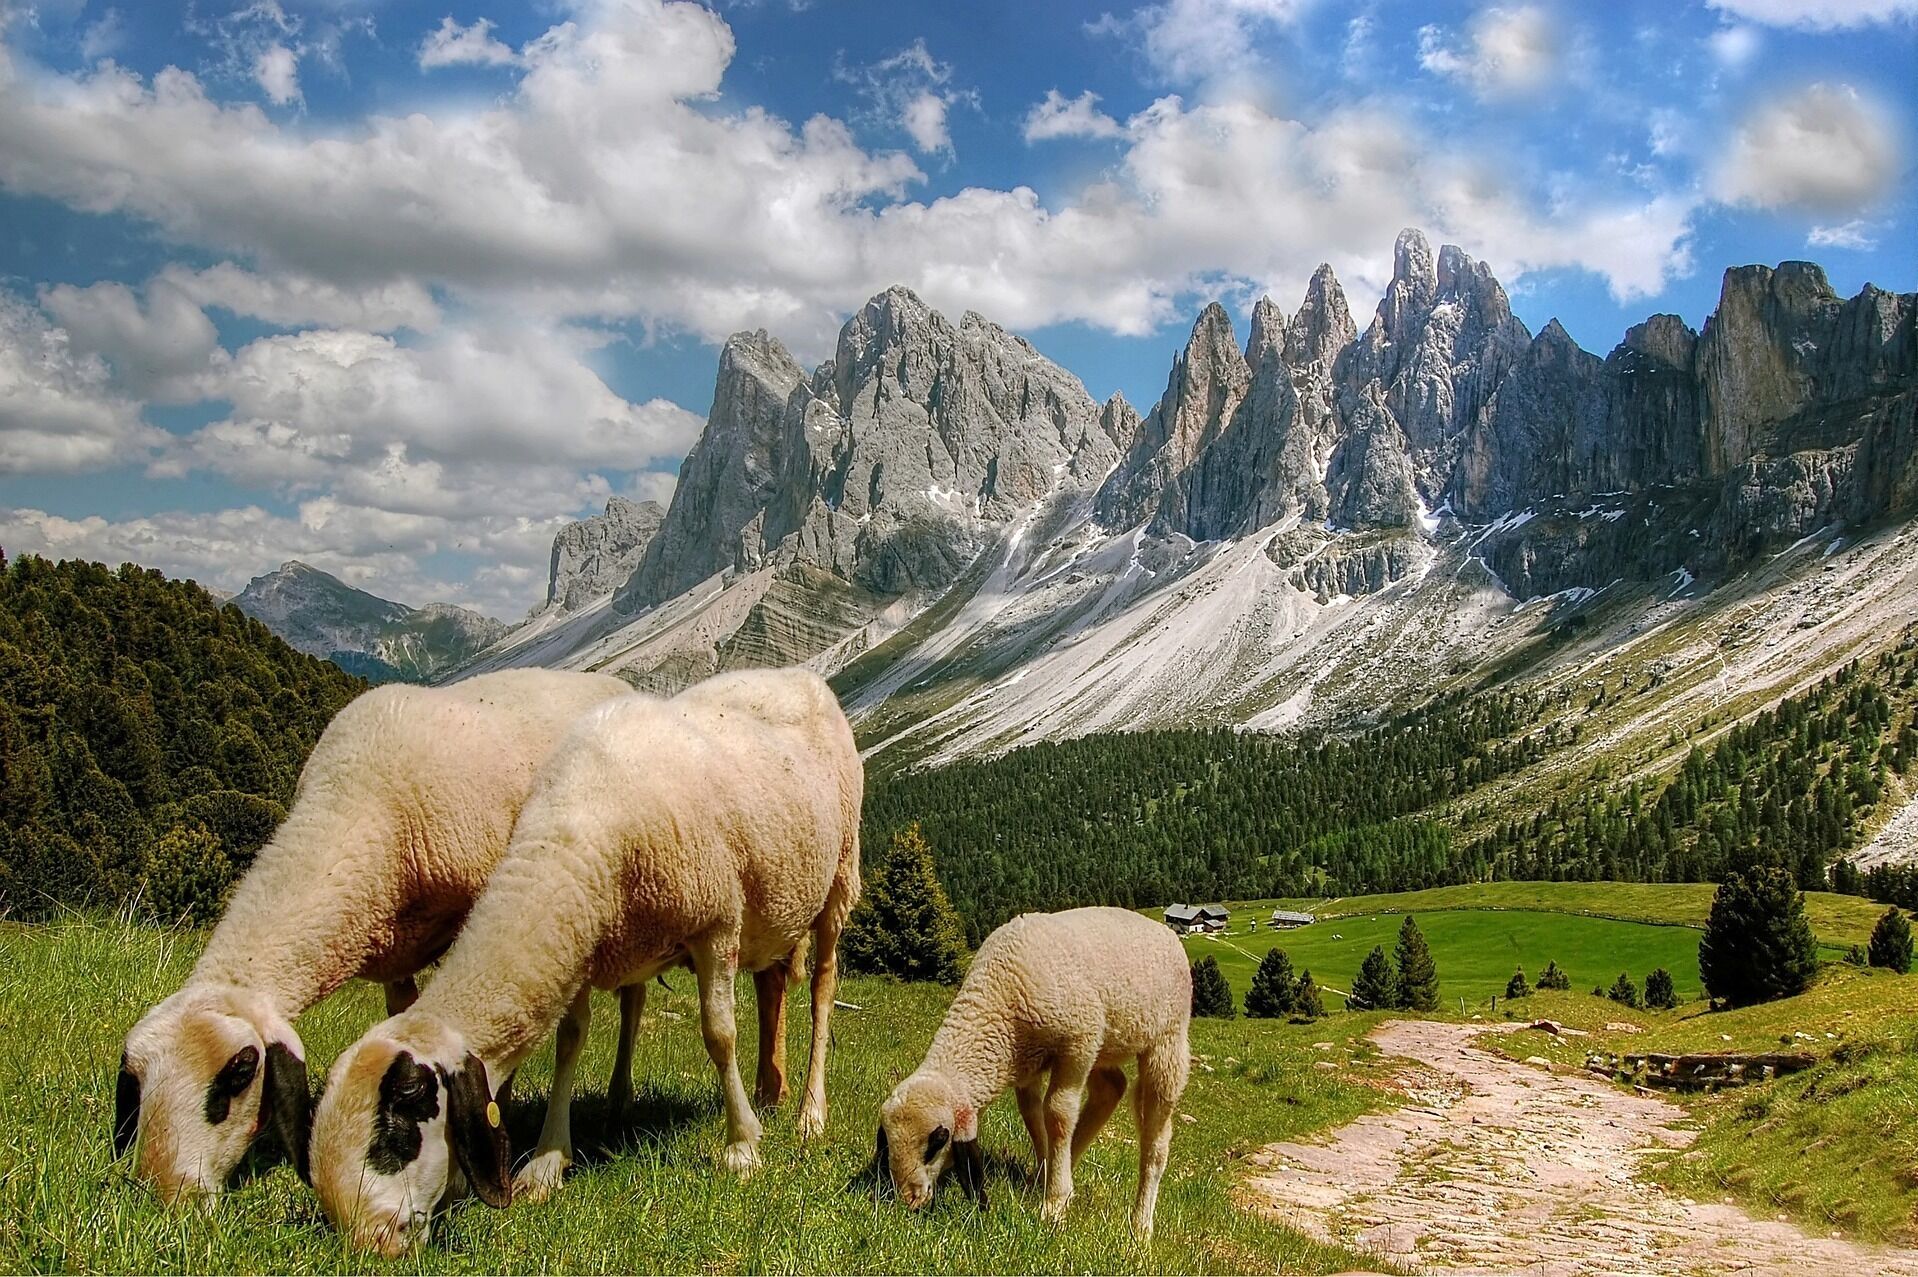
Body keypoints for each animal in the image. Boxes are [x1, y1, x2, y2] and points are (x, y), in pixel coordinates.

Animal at [114, 668, 635, 1203]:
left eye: (240, 1072)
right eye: (134, 1077)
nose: (166, 1190)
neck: (354, 801)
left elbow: (555, 1034)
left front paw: (526, 1156)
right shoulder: (393, 945)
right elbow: (407, 1016)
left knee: (624, 1008)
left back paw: (614, 1101)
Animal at [306, 667, 862, 1256]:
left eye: (400, 1128)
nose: (372, 1245)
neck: (578, 830)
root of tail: (794, 673)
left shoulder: (716, 922)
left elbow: (718, 1034)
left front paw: (741, 1147)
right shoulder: (584, 944)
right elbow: (570, 1040)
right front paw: (547, 1162)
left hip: (839, 876)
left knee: (822, 990)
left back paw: (809, 1113)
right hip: (775, 903)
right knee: (772, 983)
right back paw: (770, 1094)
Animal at [877, 906, 1191, 1238]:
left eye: (938, 1141)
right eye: (886, 1141)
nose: (909, 1200)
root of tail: (1164, 931)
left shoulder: (1078, 1043)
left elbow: (1057, 1115)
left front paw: (1054, 1204)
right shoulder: (1026, 1062)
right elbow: (1031, 1113)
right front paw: (1045, 1178)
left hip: (1166, 1042)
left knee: (1156, 1141)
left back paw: (1140, 1226)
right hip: (1106, 1045)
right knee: (1112, 1087)